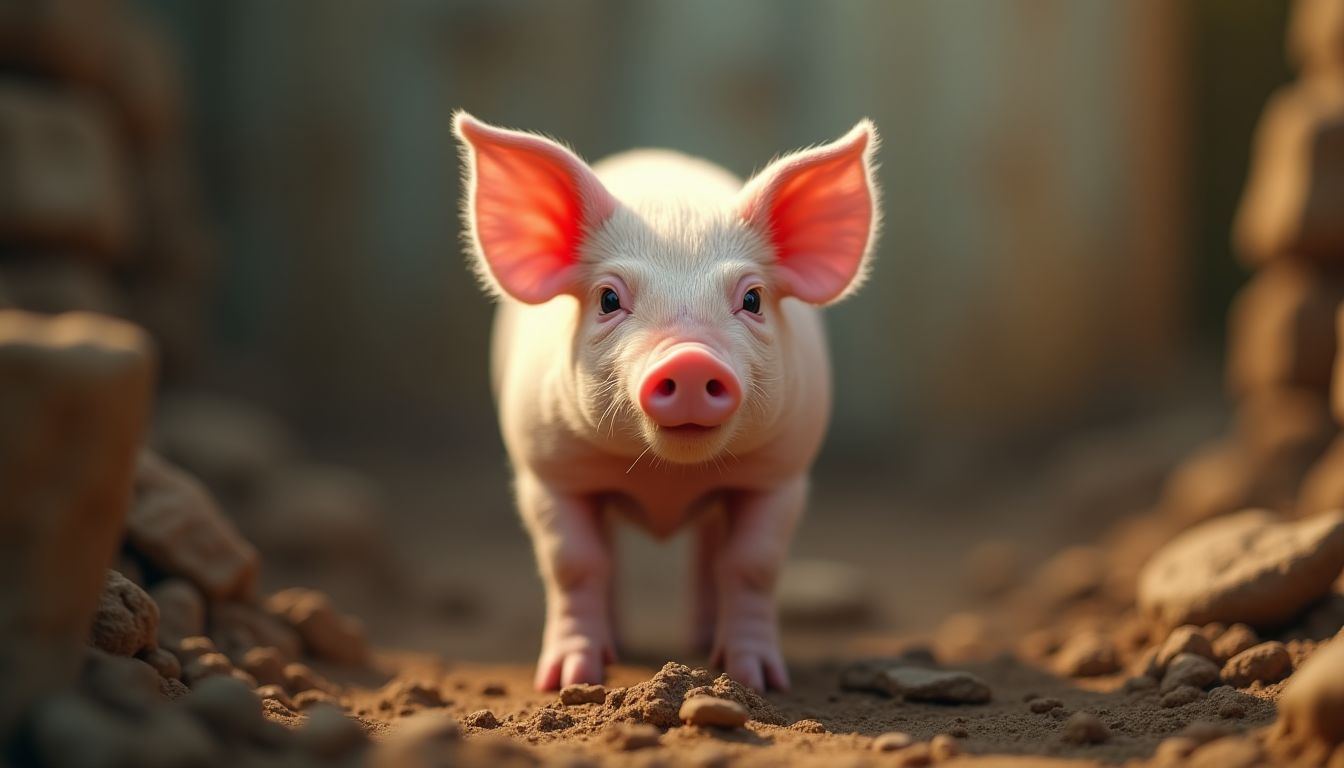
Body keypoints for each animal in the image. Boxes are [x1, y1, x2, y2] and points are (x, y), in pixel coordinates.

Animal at [453, 112, 880, 692]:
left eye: (752, 299)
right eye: (609, 298)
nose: (691, 359)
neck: (667, 478)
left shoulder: (781, 472)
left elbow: (752, 565)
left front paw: (758, 680)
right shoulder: (547, 469)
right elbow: (575, 563)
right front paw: (569, 680)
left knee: (709, 547)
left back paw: (701, 641)